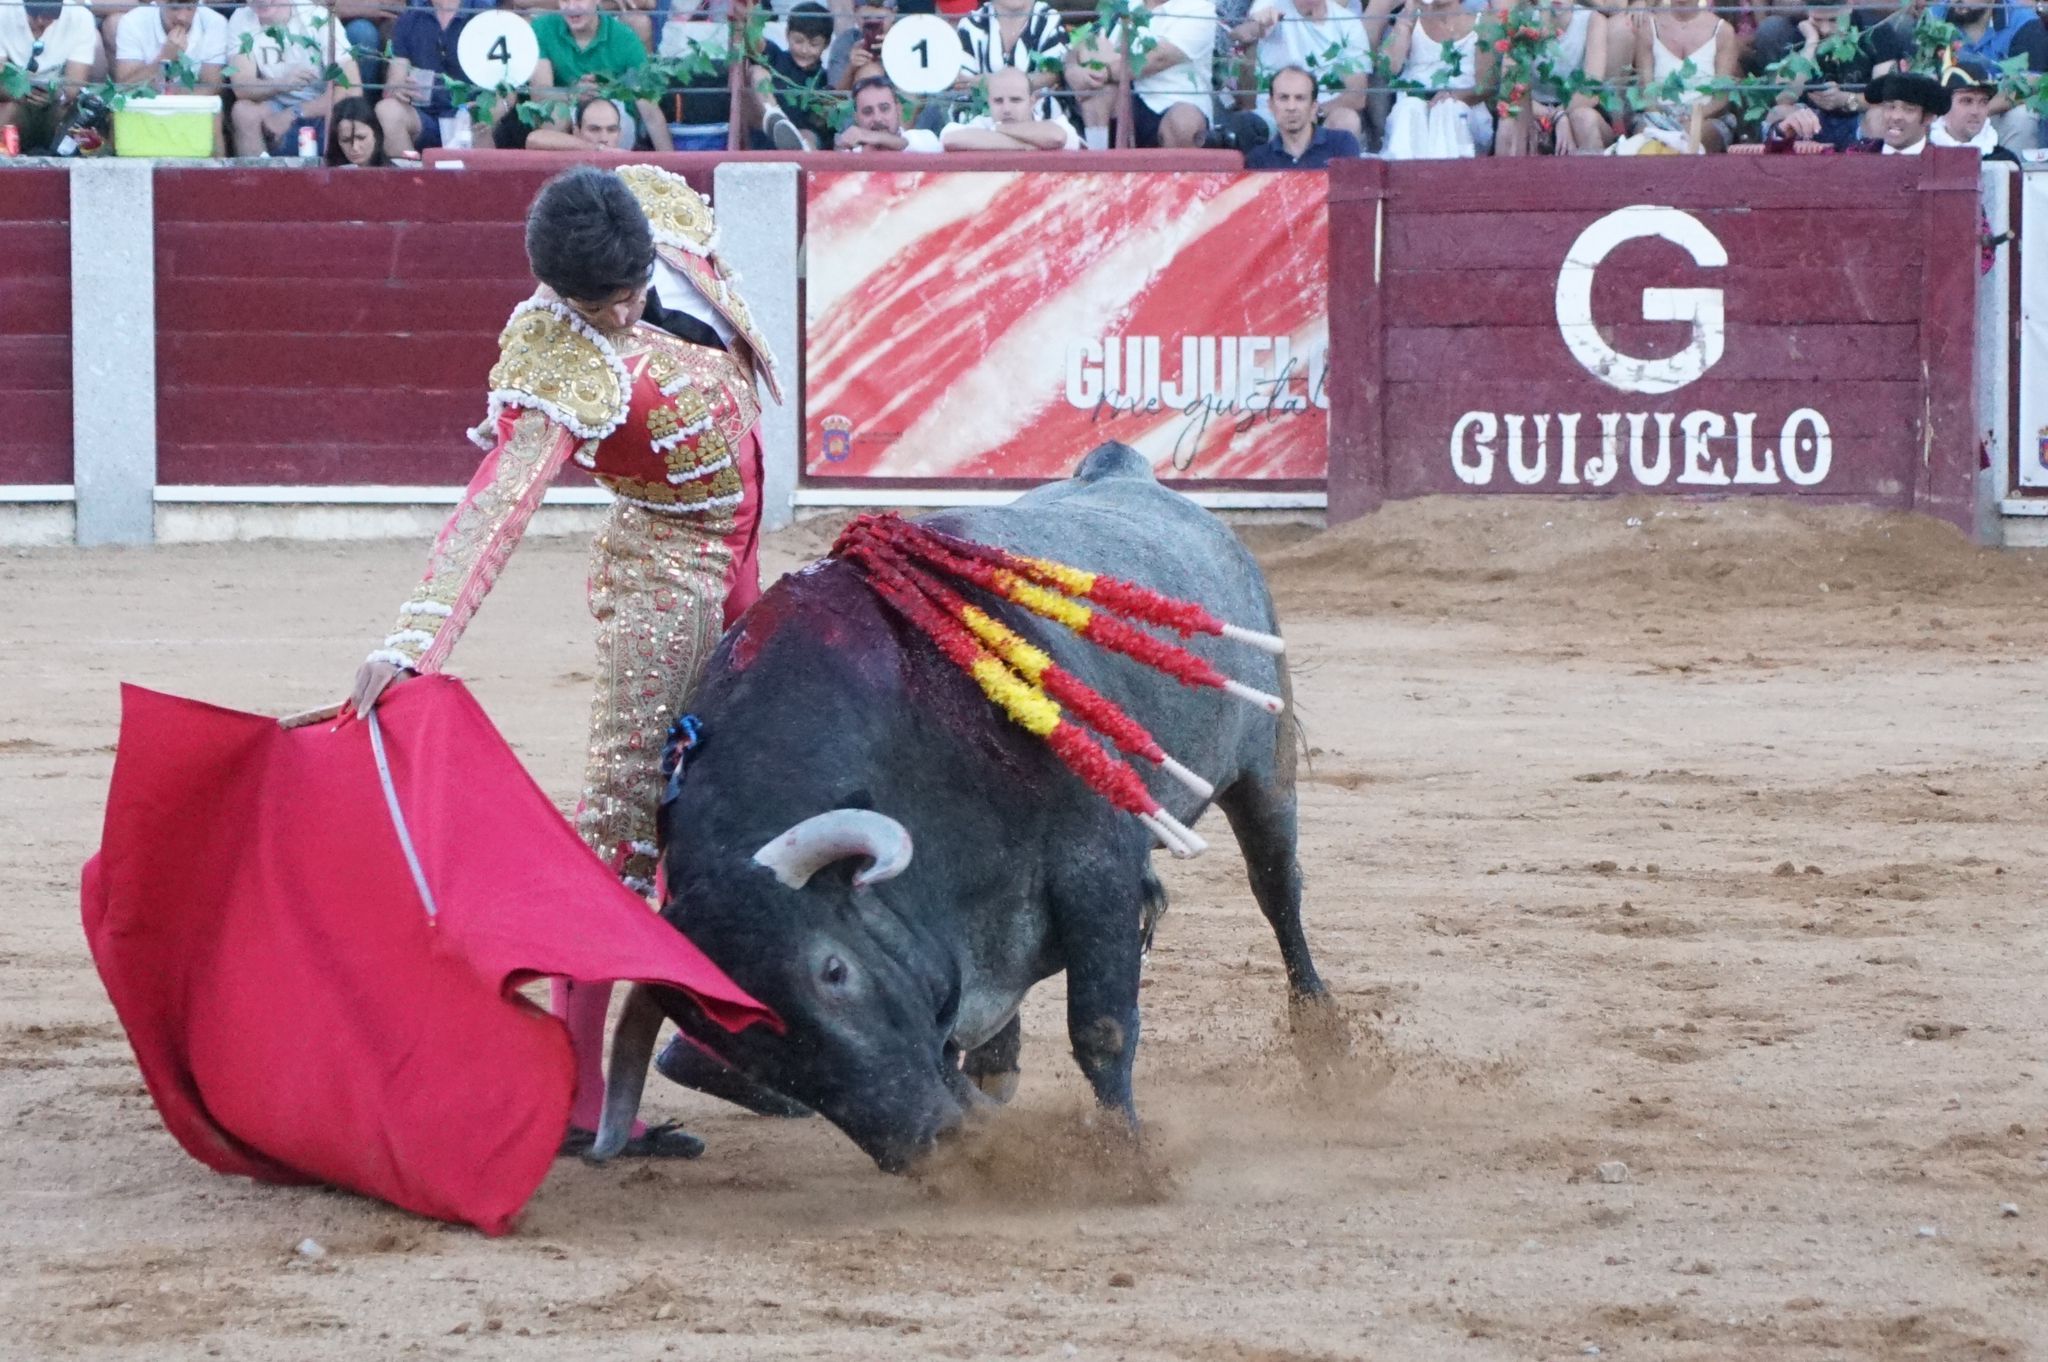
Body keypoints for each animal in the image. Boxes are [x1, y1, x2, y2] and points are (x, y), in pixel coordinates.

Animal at [593, 444, 1327, 1171]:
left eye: (834, 971)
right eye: (741, 1048)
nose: (924, 1144)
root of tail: (1124, 470)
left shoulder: (1098, 871)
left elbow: (1101, 1027)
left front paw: (1124, 1157)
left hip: (1264, 775)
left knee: (1277, 890)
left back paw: (1326, 1041)